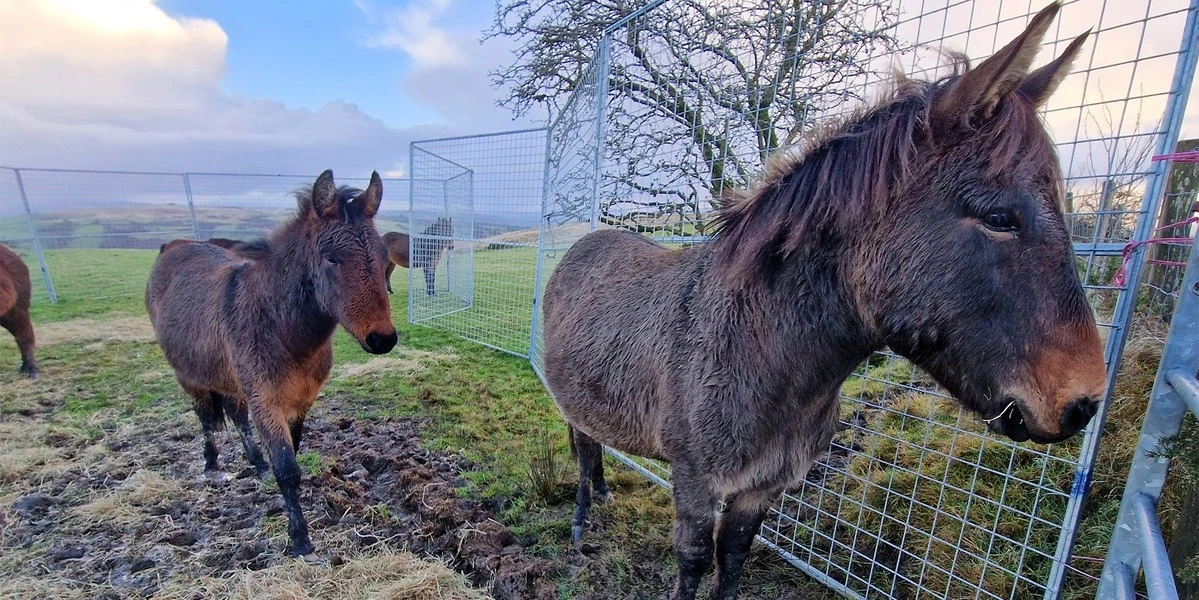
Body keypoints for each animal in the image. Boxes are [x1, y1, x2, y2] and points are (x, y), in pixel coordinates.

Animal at [146, 170, 397, 557]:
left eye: (384, 259)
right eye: (332, 258)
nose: (382, 339)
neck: (279, 327)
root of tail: (174, 245)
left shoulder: (301, 401)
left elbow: (291, 453)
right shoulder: (266, 401)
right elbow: (288, 469)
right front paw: (300, 540)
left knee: (235, 416)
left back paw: (256, 462)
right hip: (189, 375)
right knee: (204, 417)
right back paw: (211, 464)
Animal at [541, 4, 1103, 599]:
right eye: (1000, 218)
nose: (1084, 403)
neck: (762, 355)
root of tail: (586, 241)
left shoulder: (762, 487)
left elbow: (732, 557)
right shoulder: (694, 477)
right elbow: (693, 560)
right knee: (581, 446)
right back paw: (580, 520)